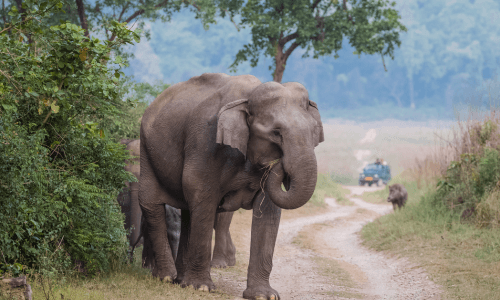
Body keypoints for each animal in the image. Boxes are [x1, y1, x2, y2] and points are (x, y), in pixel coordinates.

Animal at [139, 73, 324, 300]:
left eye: (314, 132)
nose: (279, 163)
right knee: (152, 204)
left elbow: (268, 211)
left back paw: (181, 281)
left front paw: (264, 295)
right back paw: (166, 277)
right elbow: (202, 195)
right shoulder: (206, 142)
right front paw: (201, 288)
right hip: (146, 148)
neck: (248, 96)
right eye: (276, 133)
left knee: (188, 212)